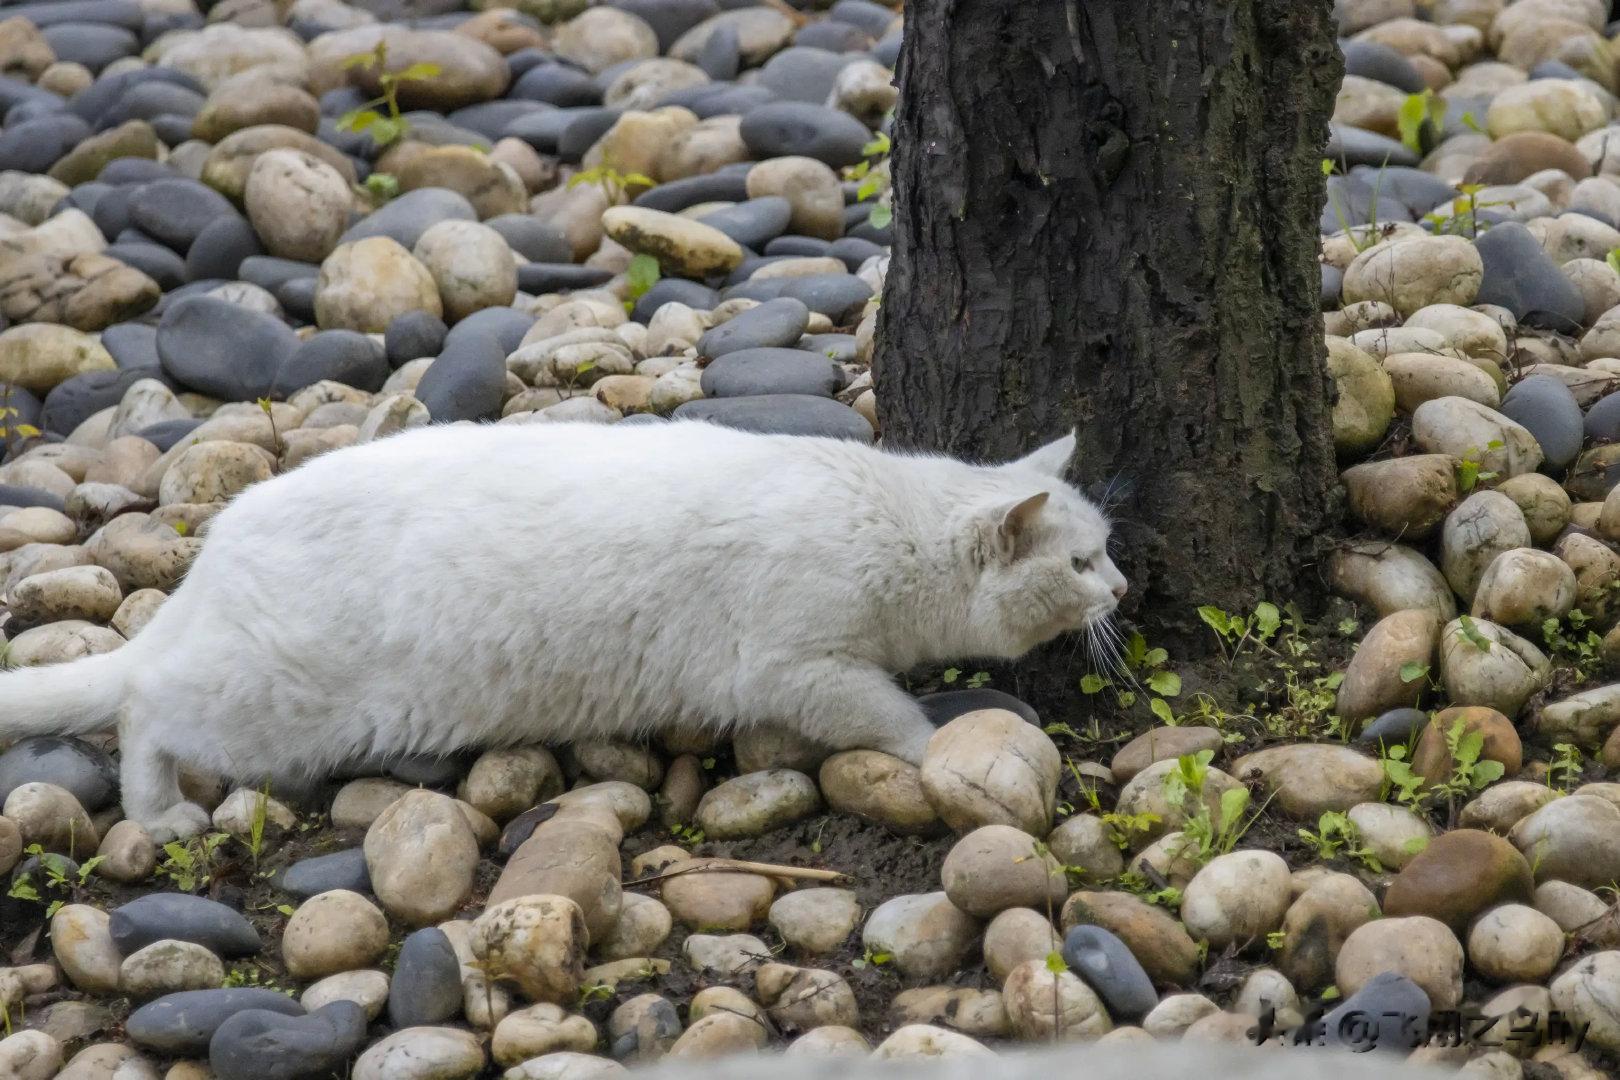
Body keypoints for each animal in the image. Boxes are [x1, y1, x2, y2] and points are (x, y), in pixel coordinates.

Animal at [0, 420, 1127, 835]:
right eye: (1080, 563)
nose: (1122, 585)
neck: (887, 516)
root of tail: (219, 549)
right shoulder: (796, 666)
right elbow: (890, 716)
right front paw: (940, 742)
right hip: (269, 704)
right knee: (145, 704)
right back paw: (159, 813)